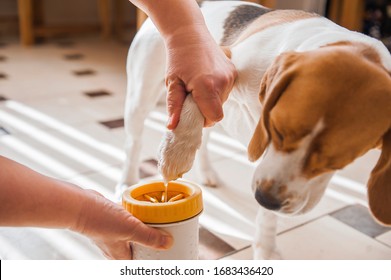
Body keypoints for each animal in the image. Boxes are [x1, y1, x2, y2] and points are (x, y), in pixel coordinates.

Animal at [118, 0, 391, 260]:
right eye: (277, 130)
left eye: (339, 161)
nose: (266, 198)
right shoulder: (218, 64)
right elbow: (195, 99)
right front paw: (176, 152)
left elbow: (268, 215)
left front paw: (266, 248)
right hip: (140, 97)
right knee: (134, 142)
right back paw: (127, 182)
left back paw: (207, 173)